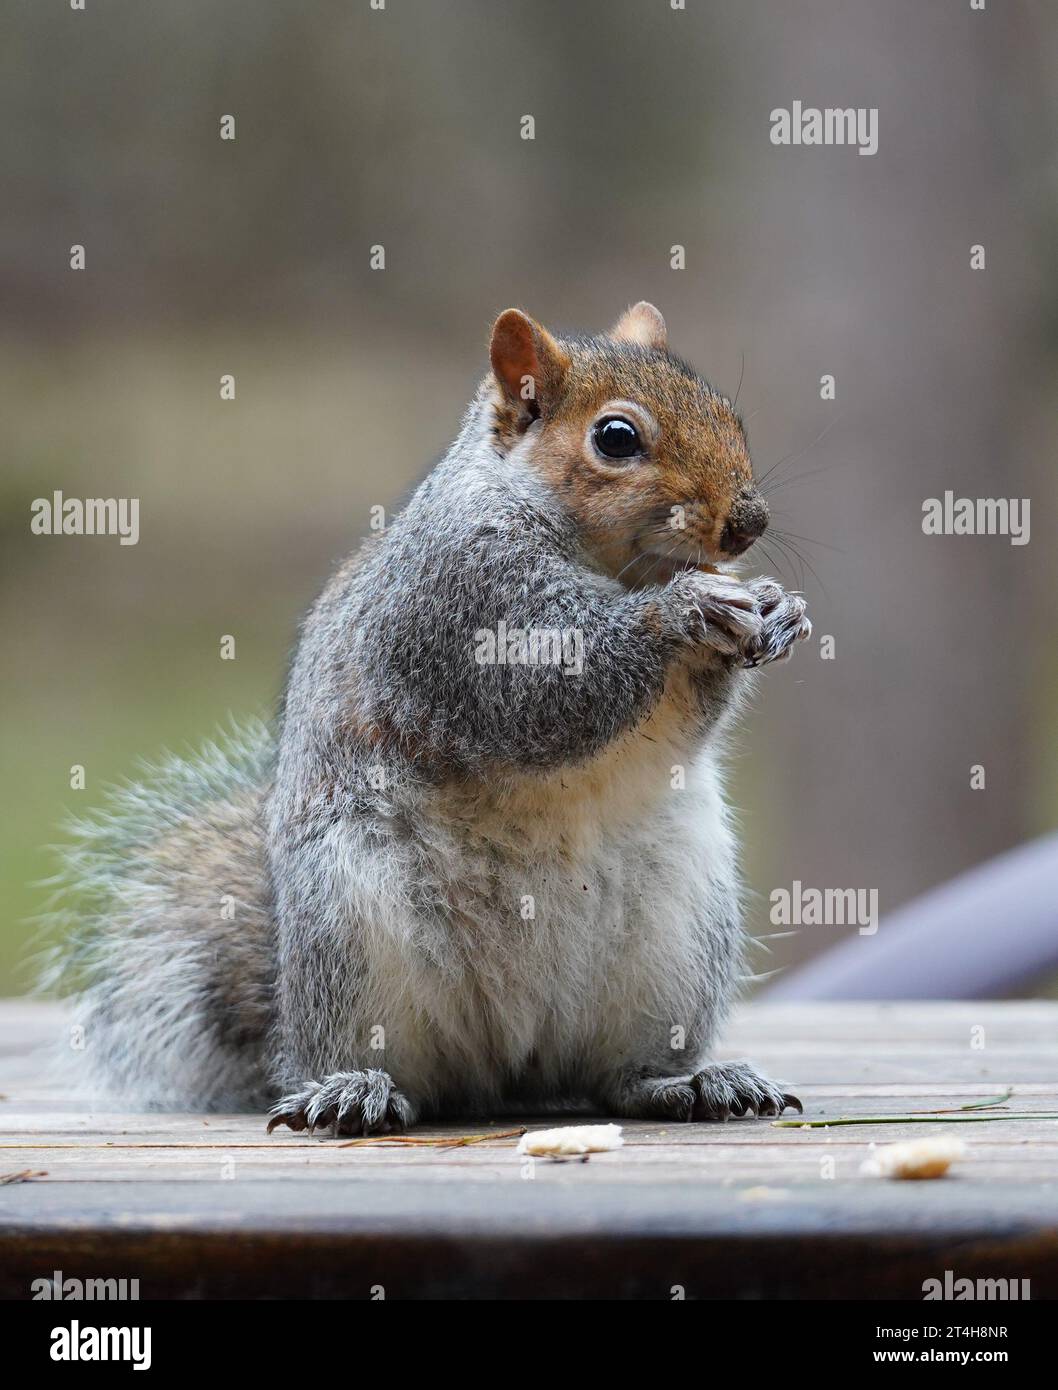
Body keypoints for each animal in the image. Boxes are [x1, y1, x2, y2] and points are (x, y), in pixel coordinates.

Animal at [51, 301, 806, 1128]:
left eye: (730, 414)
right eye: (616, 438)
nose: (749, 522)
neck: (611, 564)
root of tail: (511, 1067)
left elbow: (687, 720)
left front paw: (776, 610)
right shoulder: (454, 605)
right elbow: (546, 692)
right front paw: (684, 607)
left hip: (678, 940)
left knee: (615, 1074)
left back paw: (687, 1082)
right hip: (350, 935)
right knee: (376, 1061)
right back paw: (353, 1090)